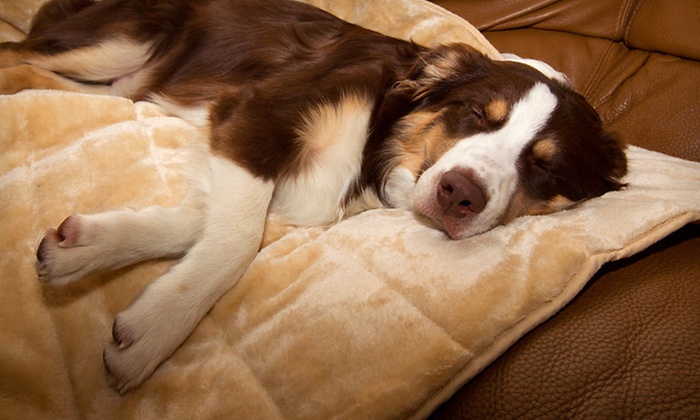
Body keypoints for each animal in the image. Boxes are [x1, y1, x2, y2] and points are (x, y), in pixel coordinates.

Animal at [0, 0, 624, 394]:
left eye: (544, 166)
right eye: (474, 114)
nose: (458, 195)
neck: (382, 135)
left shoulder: (273, 173)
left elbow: (204, 225)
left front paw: (85, 247)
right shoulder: (255, 113)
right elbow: (237, 239)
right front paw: (157, 330)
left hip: (126, 78)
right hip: (121, 40)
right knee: (15, 57)